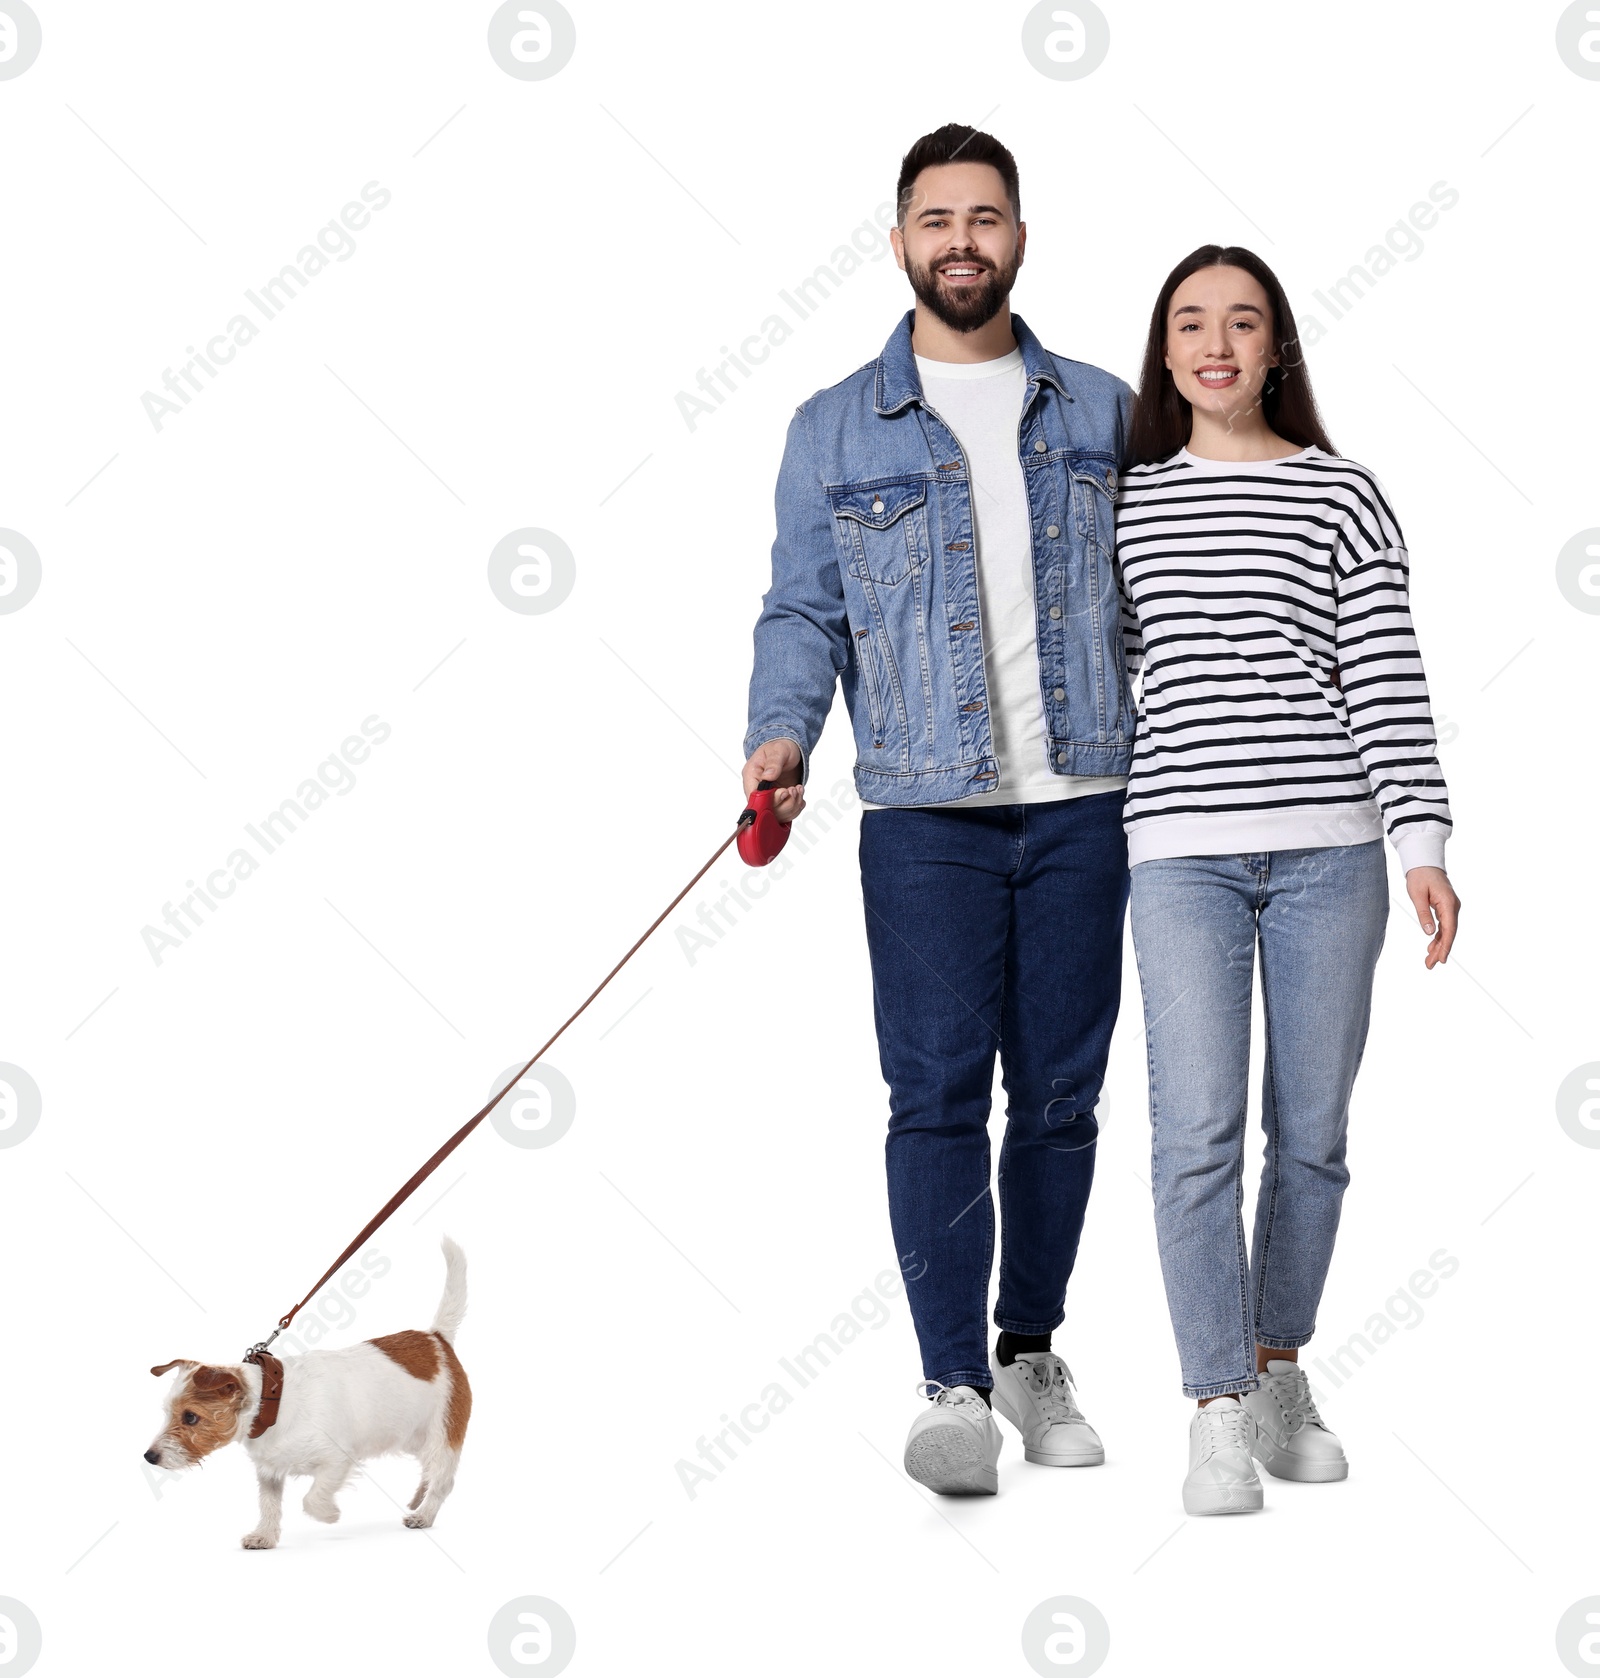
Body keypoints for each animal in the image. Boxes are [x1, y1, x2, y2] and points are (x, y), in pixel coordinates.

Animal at [144, 1235, 469, 1543]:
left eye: (190, 1417)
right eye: (167, 1413)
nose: (149, 1457)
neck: (272, 1402)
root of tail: (436, 1339)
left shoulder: (337, 1459)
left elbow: (312, 1498)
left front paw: (330, 1515)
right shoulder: (270, 1472)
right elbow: (269, 1505)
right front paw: (265, 1536)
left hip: (442, 1435)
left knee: (444, 1480)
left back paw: (424, 1514)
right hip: (413, 1434)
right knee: (430, 1471)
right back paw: (418, 1499)